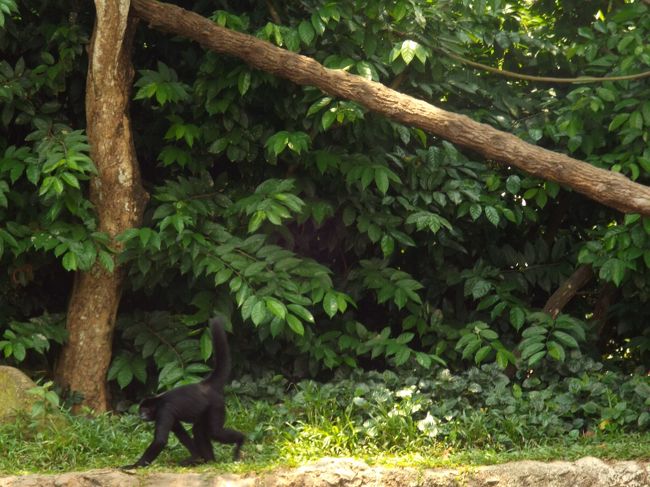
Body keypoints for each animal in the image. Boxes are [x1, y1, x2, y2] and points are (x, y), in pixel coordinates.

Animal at [121, 320, 243, 468]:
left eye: (145, 410)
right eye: (141, 409)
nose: (141, 415)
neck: (158, 402)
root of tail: (205, 384)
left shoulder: (164, 411)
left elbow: (160, 441)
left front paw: (135, 465)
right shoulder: (169, 415)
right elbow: (181, 433)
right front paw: (196, 457)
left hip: (216, 404)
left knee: (215, 432)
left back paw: (240, 440)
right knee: (199, 431)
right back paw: (209, 460)